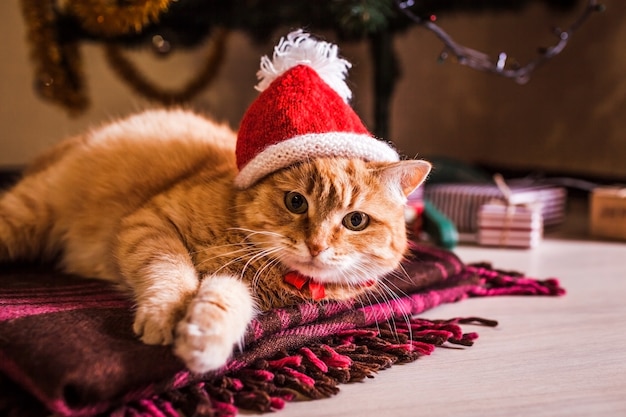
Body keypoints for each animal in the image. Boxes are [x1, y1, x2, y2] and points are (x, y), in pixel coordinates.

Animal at [0, 109, 428, 372]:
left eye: (356, 221)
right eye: (295, 202)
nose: (317, 246)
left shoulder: (240, 285)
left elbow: (226, 300)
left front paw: (205, 338)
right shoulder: (151, 224)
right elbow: (171, 270)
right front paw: (166, 313)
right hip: (27, 214)